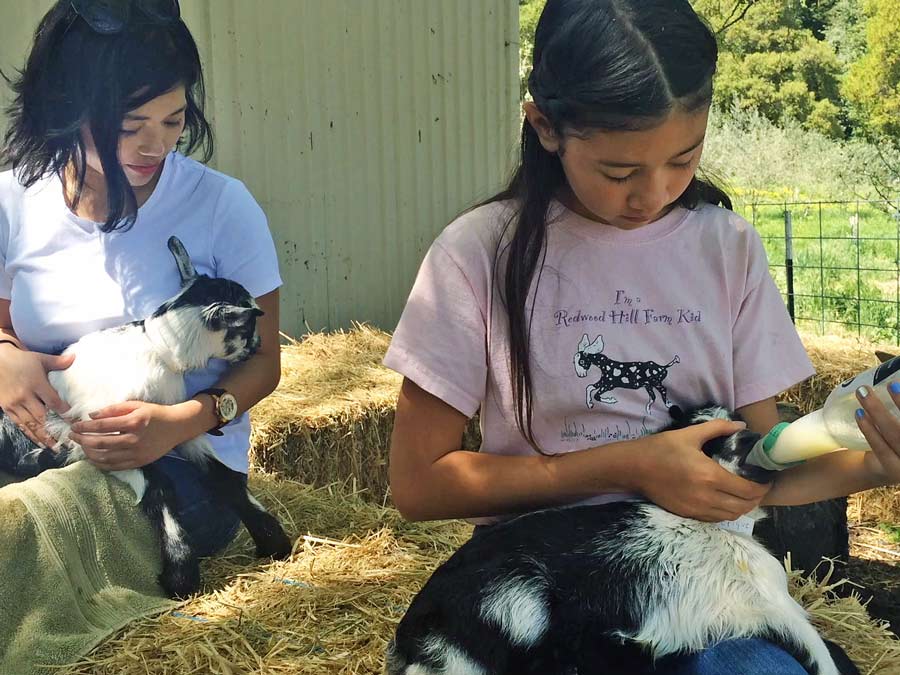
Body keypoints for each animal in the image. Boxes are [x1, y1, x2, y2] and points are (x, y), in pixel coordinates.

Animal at [0, 236, 290, 596]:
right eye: (248, 324)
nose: (258, 345)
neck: (157, 349)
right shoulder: (108, 438)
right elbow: (160, 488)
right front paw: (180, 575)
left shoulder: (175, 429)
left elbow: (224, 477)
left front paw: (273, 541)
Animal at [386, 406, 856, 675]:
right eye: (704, 445)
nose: (755, 442)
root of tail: (412, 636)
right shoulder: (777, 611)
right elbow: (824, 657)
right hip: (513, 606)